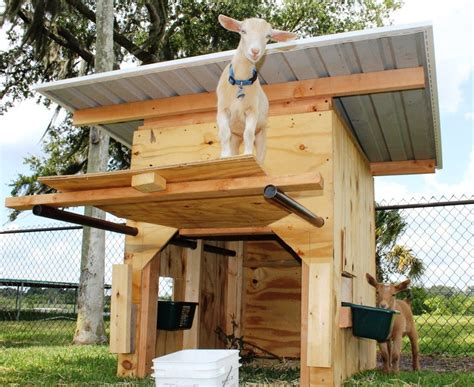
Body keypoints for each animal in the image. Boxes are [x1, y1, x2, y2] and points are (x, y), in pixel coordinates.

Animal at [216, 14, 296, 164]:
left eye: (268, 36)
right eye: (243, 31)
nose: (255, 51)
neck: (241, 81)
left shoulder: (252, 110)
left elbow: (248, 133)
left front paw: (247, 154)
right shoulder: (223, 109)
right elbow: (224, 133)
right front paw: (224, 156)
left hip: (262, 133)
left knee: (259, 151)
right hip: (236, 137)